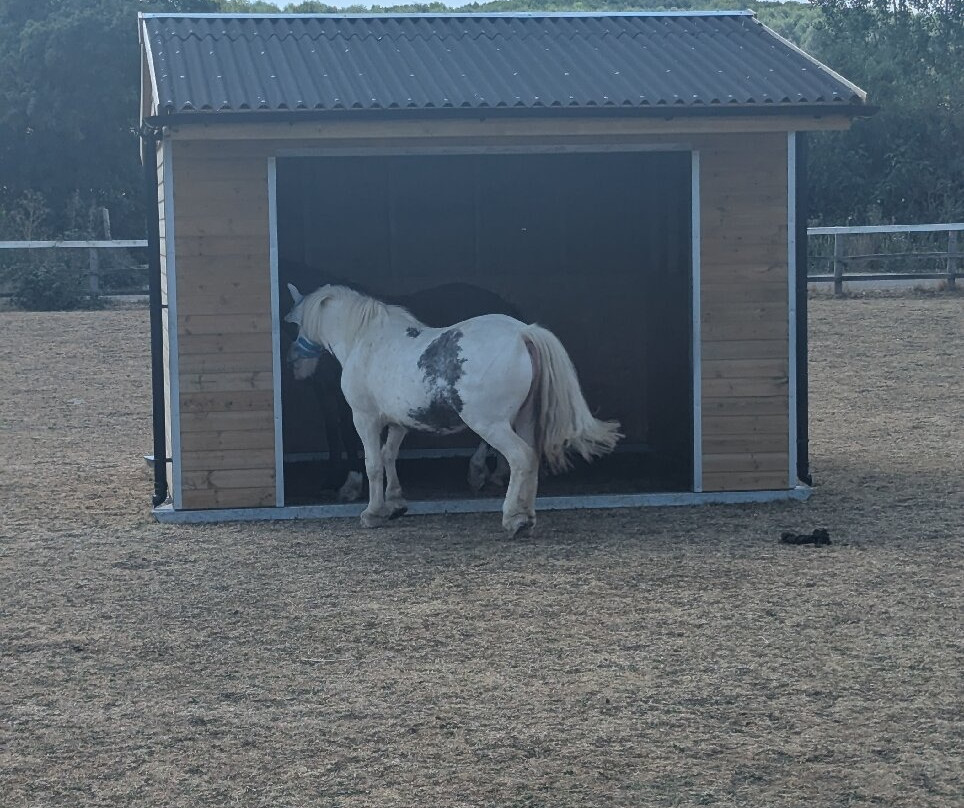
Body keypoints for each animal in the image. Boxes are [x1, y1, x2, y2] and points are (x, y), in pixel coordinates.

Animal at [285, 283, 622, 536]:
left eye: (298, 323)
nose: (295, 363)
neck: (366, 341)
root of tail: (523, 333)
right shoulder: (399, 422)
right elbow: (389, 456)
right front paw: (395, 503)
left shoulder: (365, 419)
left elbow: (373, 464)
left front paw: (373, 512)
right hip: (523, 420)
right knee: (531, 459)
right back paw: (525, 515)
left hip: (490, 424)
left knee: (520, 458)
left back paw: (513, 518)